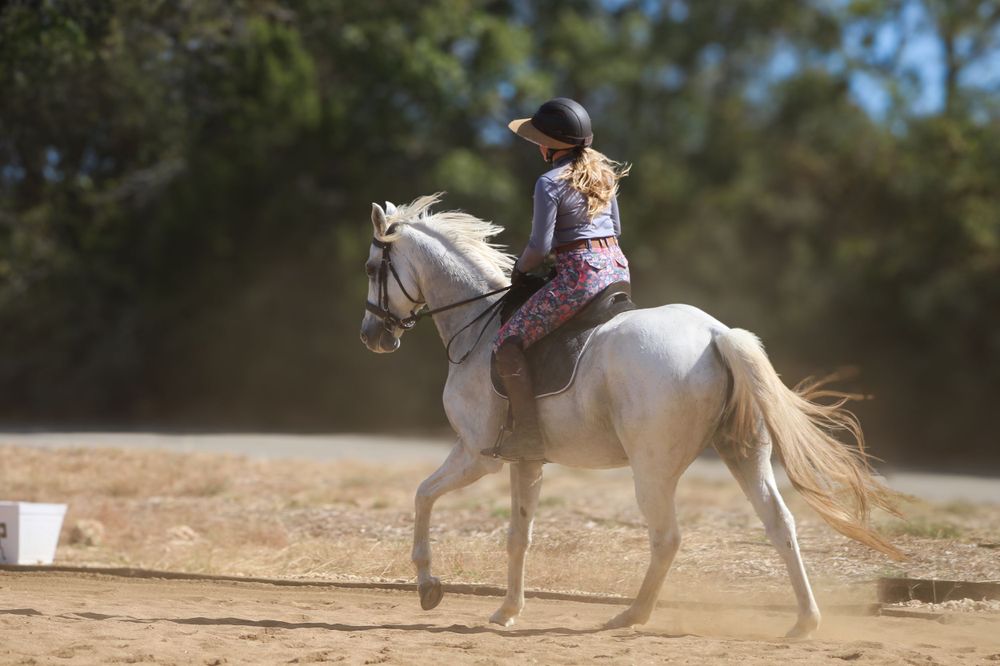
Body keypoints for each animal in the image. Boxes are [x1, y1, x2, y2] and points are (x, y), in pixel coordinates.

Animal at [358, 194, 903, 638]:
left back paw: (631, 615)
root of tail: (715, 335)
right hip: (744, 455)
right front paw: (508, 611)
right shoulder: (524, 461)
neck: (479, 325)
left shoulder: (478, 454)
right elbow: (518, 536)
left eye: (370, 268)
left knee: (667, 538)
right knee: (779, 522)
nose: (372, 337)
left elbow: (423, 496)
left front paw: (428, 585)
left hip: (653, 470)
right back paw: (804, 622)